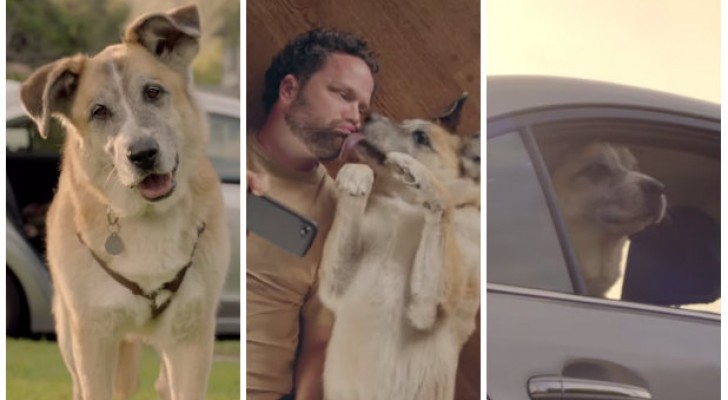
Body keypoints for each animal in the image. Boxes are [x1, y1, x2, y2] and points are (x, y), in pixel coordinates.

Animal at [19, 5, 228, 396]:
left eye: (153, 92)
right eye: (99, 111)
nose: (143, 154)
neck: (147, 218)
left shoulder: (191, 338)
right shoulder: (94, 338)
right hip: (79, 342)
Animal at [318, 112, 478, 400]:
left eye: (421, 137)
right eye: (404, 122)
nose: (367, 114)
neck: (408, 206)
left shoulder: (428, 308)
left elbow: (444, 199)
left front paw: (414, 170)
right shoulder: (335, 286)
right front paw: (356, 174)